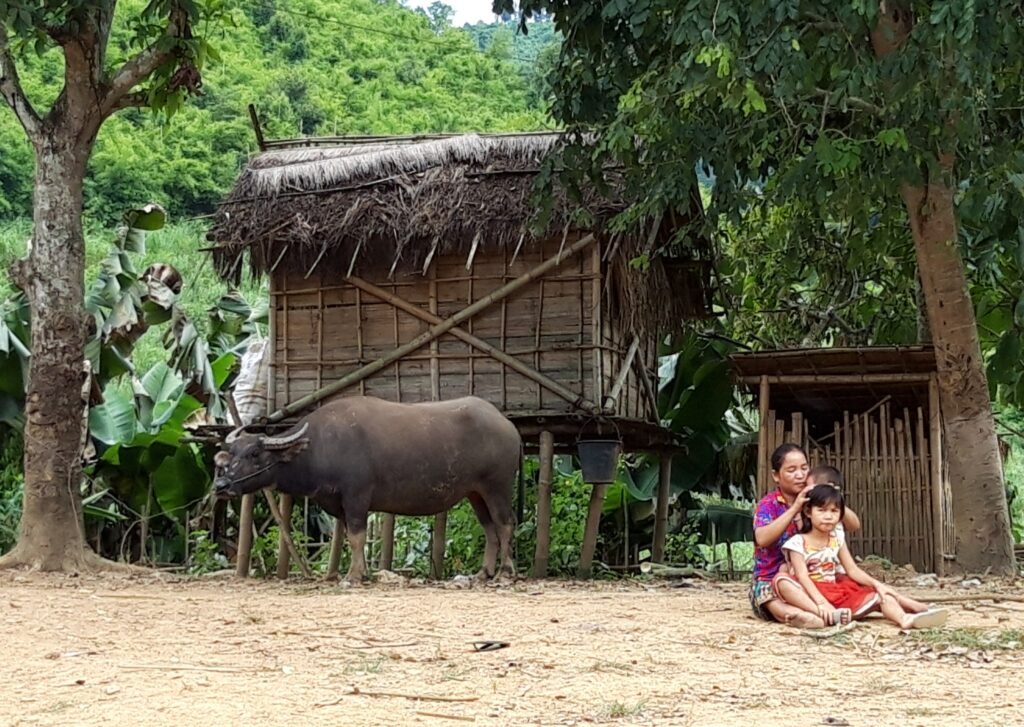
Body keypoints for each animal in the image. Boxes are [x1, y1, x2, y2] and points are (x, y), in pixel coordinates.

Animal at [213, 396, 521, 582]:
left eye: (255, 453)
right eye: (232, 452)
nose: (221, 485)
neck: (321, 447)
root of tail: (508, 425)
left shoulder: (357, 498)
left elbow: (358, 536)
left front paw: (354, 576)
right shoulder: (340, 505)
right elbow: (351, 538)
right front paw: (360, 573)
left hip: (497, 486)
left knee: (505, 524)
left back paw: (505, 572)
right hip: (475, 492)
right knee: (490, 529)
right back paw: (483, 573)